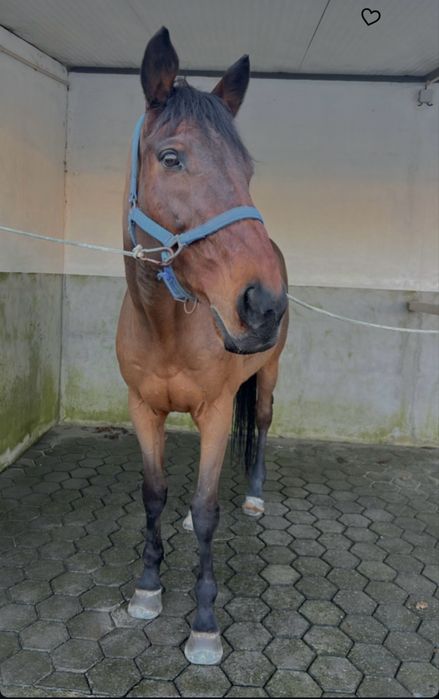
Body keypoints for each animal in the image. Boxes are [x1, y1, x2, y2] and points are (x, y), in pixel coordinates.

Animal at [116, 27, 289, 665]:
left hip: (267, 376)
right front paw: (147, 587)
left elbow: (210, 509)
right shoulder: (144, 409)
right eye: (172, 158)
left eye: (246, 169)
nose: (264, 303)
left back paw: (256, 497)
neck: (165, 325)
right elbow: (156, 494)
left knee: (261, 421)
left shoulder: (216, 411)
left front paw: (205, 622)